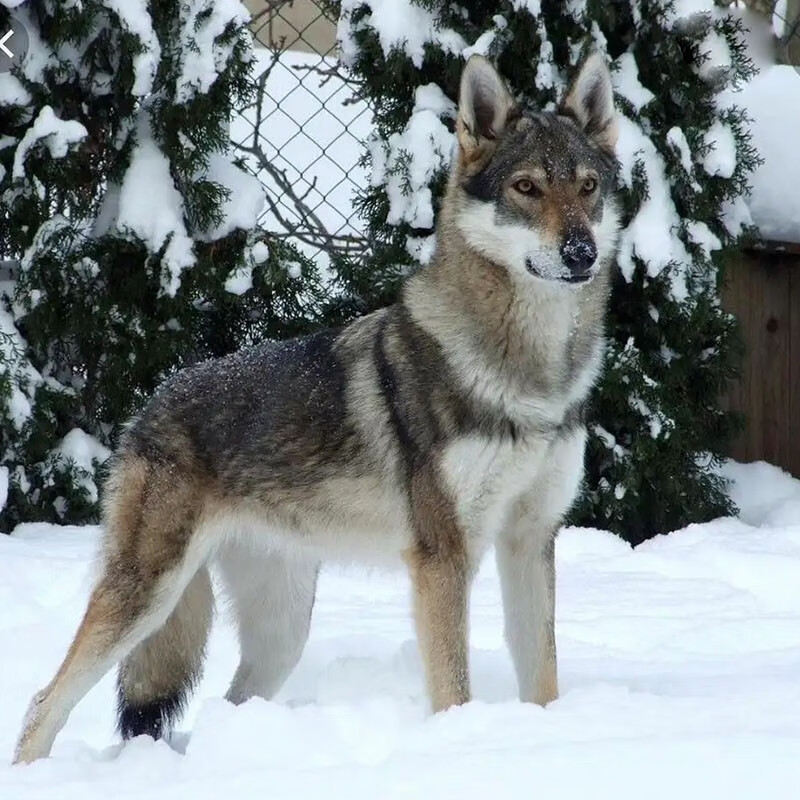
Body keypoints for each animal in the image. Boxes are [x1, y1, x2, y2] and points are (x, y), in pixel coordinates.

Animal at [15, 50, 620, 764]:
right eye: (527, 188)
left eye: (587, 188)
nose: (581, 253)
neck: (531, 375)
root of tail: (148, 407)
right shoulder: (443, 557)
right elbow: (453, 688)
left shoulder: (530, 538)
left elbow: (543, 676)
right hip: (148, 597)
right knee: (43, 704)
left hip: (281, 629)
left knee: (228, 701)